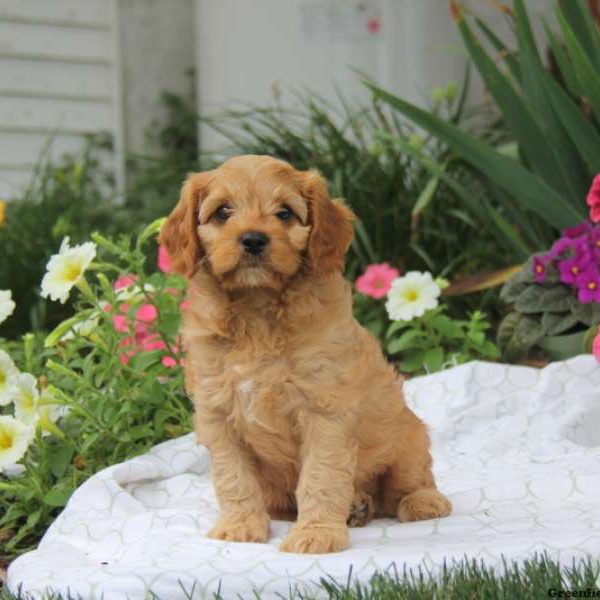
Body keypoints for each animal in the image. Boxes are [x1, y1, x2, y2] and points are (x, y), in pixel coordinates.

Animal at [159, 154, 450, 552]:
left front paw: (317, 535)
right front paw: (239, 526)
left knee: (407, 483)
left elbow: (320, 476)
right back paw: (354, 506)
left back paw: (420, 502)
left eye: (284, 213)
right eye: (222, 212)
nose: (253, 239)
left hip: (406, 436)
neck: (257, 312)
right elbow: (234, 477)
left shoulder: (324, 410)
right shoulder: (217, 414)